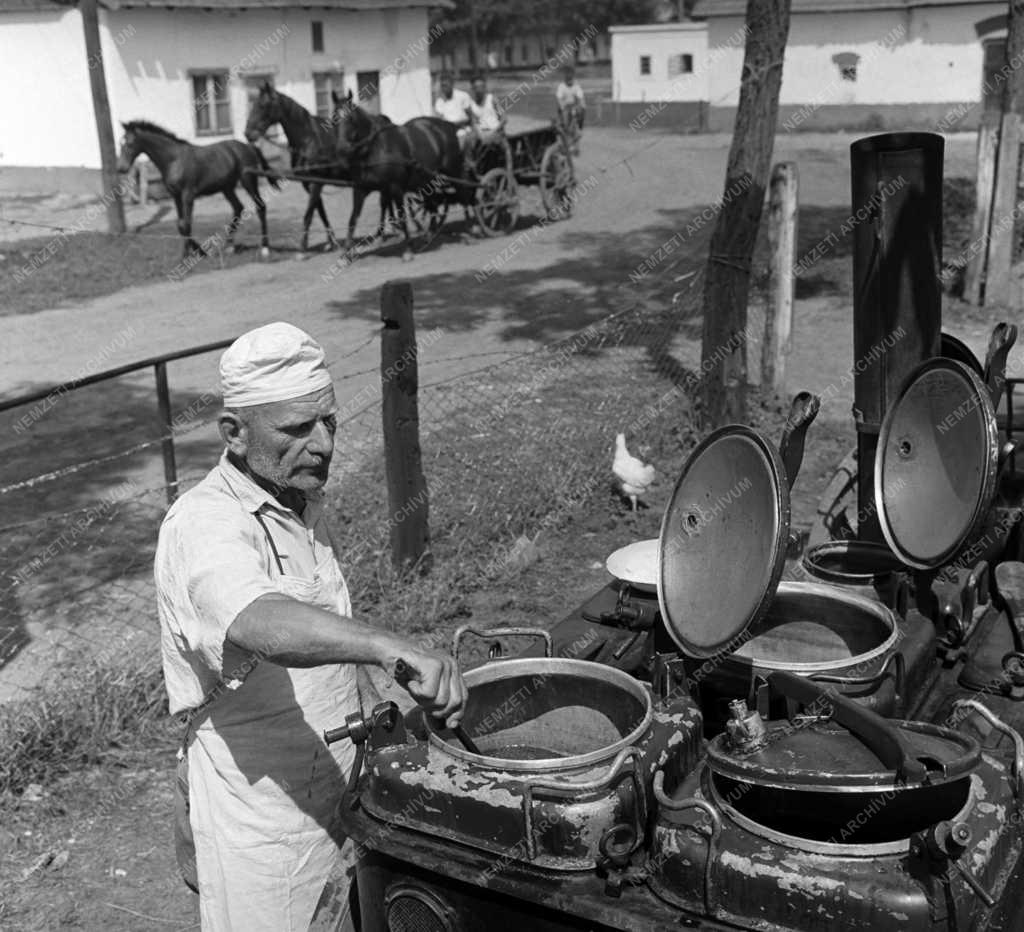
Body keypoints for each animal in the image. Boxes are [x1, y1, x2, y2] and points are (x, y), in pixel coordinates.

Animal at [116, 120, 278, 261]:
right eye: (120, 143)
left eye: (129, 143)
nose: (121, 168)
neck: (174, 160)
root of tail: (249, 146)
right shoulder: (176, 196)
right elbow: (180, 225)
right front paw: (199, 252)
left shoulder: (188, 195)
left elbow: (186, 224)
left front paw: (189, 255)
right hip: (226, 187)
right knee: (238, 208)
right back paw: (229, 247)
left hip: (248, 180)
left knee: (260, 207)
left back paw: (265, 248)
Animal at [243, 82, 395, 249]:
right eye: (254, 104)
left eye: (263, 105)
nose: (248, 134)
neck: (308, 141)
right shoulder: (310, 183)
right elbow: (320, 211)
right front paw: (331, 241)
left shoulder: (316, 182)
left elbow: (309, 214)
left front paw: (303, 246)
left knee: (385, 201)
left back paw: (383, 233)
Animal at [331, 92, 471, 259]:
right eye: (333, 119)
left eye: (351, 119)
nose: (341, 151)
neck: (376, 149)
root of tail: (448, 125)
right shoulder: (361, 189)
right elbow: (353, 218)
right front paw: (345, 252)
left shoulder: (395, 188)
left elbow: (402, 215)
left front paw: (408, 249)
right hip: (427, 179)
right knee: (432, 203)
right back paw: (429, 234)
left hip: (452, 170)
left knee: (463, 192)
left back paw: (472, 228)